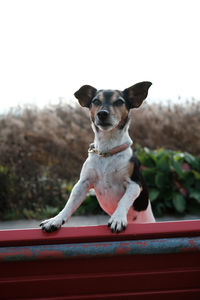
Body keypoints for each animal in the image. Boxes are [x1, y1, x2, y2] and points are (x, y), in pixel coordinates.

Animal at [40, 81, 155, 233]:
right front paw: (56, 220)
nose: (102, 113)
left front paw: (117, 218)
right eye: (95, 101)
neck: (107, 151)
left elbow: (124, 200)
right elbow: (70, 204)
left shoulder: (135, 184)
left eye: (119, 101)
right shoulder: (82, 184)